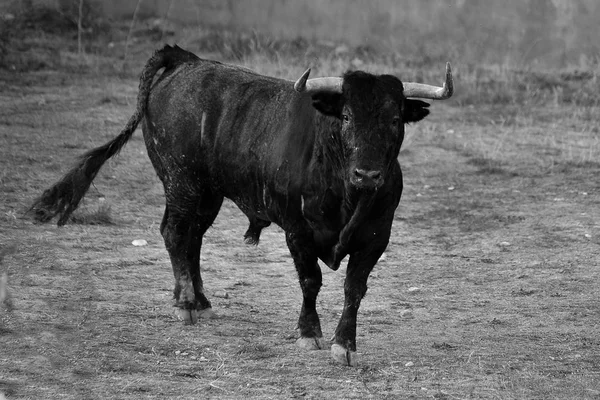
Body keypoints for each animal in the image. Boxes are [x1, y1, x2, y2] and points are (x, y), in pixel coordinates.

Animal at [30, 43, 452, 366]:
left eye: (395, 119)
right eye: (346, 116)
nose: (368, 174)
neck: (344, 190)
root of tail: (187, 61)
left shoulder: (376, 238)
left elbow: (354, 288)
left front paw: (344, 344)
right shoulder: (297, 232)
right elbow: (310, 281)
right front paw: (309, 333)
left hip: (207, 193)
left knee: (193, 238)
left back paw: (201, 301)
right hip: (181, 182)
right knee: (174, 232)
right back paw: (186, 303)